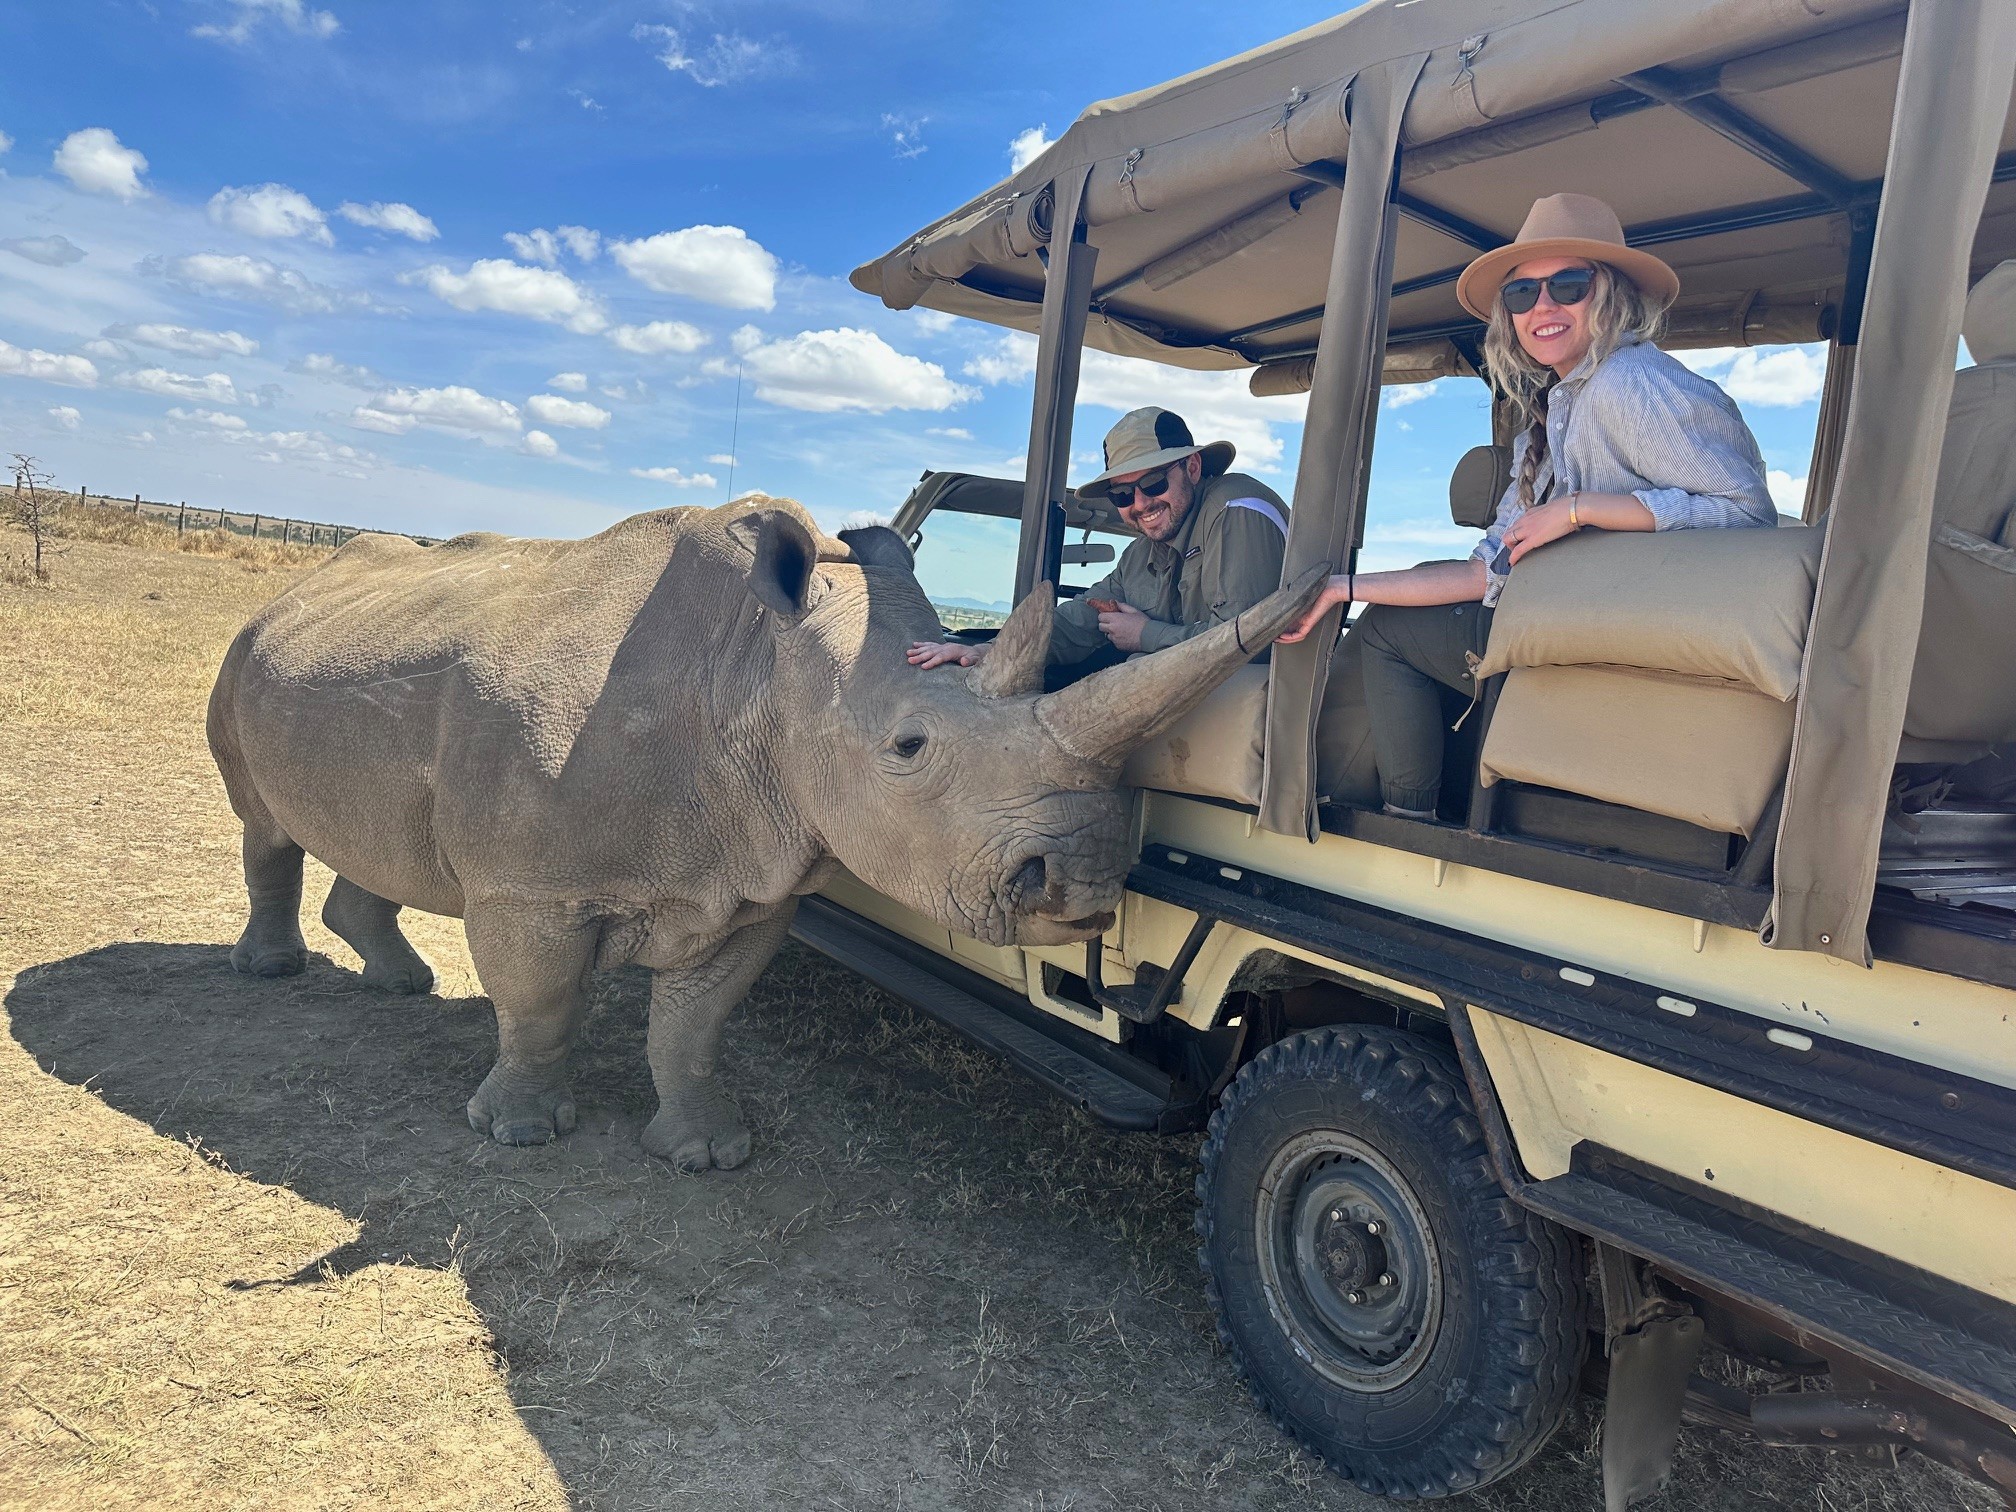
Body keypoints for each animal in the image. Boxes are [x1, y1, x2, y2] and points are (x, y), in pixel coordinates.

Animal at [206, 498, 1320, 1169]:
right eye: (908, 747)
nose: (1082, 881)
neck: (758, 668)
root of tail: (294, 588)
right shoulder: (532, 887)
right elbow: (539, 1002)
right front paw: (521, 1134)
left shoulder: (749, 884)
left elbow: (694, 1025)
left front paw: (704, 1154)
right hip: (246, 649)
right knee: (261, 823)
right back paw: (272, 972)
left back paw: (400, 980)